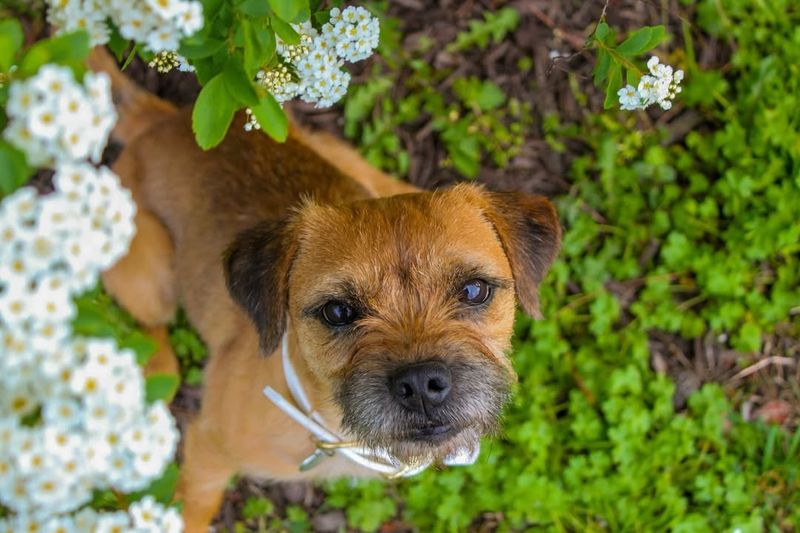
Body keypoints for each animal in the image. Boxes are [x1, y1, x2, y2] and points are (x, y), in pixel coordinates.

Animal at [87, 47, 564, 528]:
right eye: (337, 312)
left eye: (473, 291)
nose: (422, 383)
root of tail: (160, 120)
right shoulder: (208, 450)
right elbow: (192, 511)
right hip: (150, 273)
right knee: (151, 327)